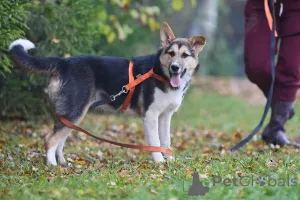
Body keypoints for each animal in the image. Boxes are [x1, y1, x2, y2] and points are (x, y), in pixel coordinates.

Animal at [8, 22, 206, 165]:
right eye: (171, 53)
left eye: (185, 55)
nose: (175, 68)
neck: (161, 74)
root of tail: (64, 63)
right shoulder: (151, 116)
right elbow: (156, 143)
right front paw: (159, 164)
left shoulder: (165, 116)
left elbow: (166, 141)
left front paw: (170, 161)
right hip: (74, 112)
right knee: (50, 139)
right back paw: (52, 165)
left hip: (72, 115)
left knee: (59, 139)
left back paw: (63, 163)